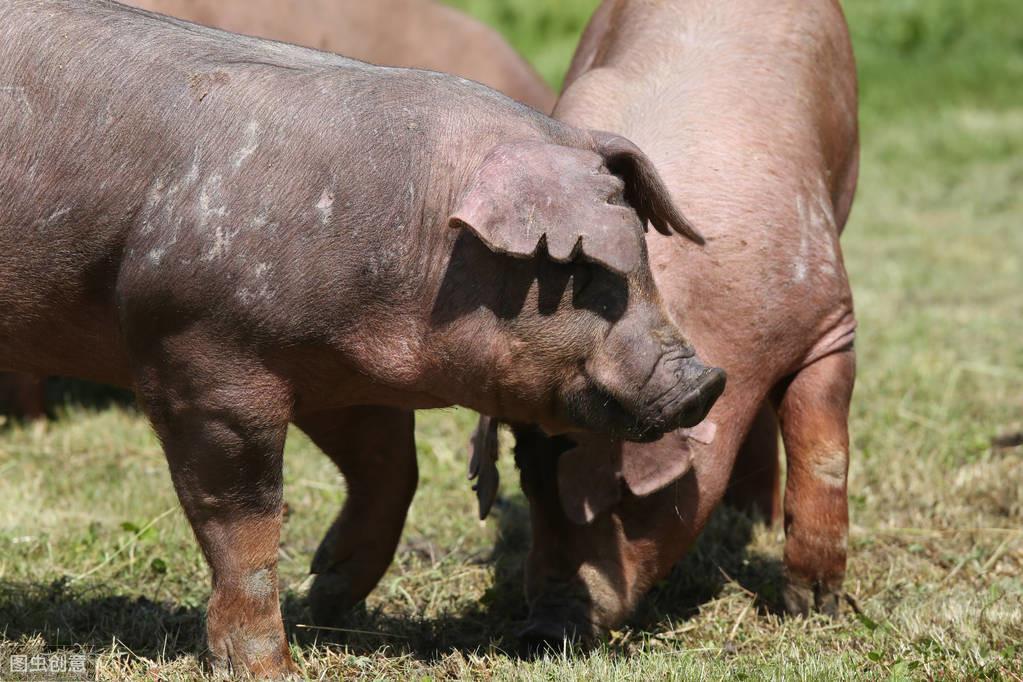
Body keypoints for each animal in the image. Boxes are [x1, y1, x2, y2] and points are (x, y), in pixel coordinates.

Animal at [511, 0, 855, 646]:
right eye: (527, 479)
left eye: (620, 495)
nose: (541, 628)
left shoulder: (829, 314)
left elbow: (823, 446)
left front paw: (814, 608)